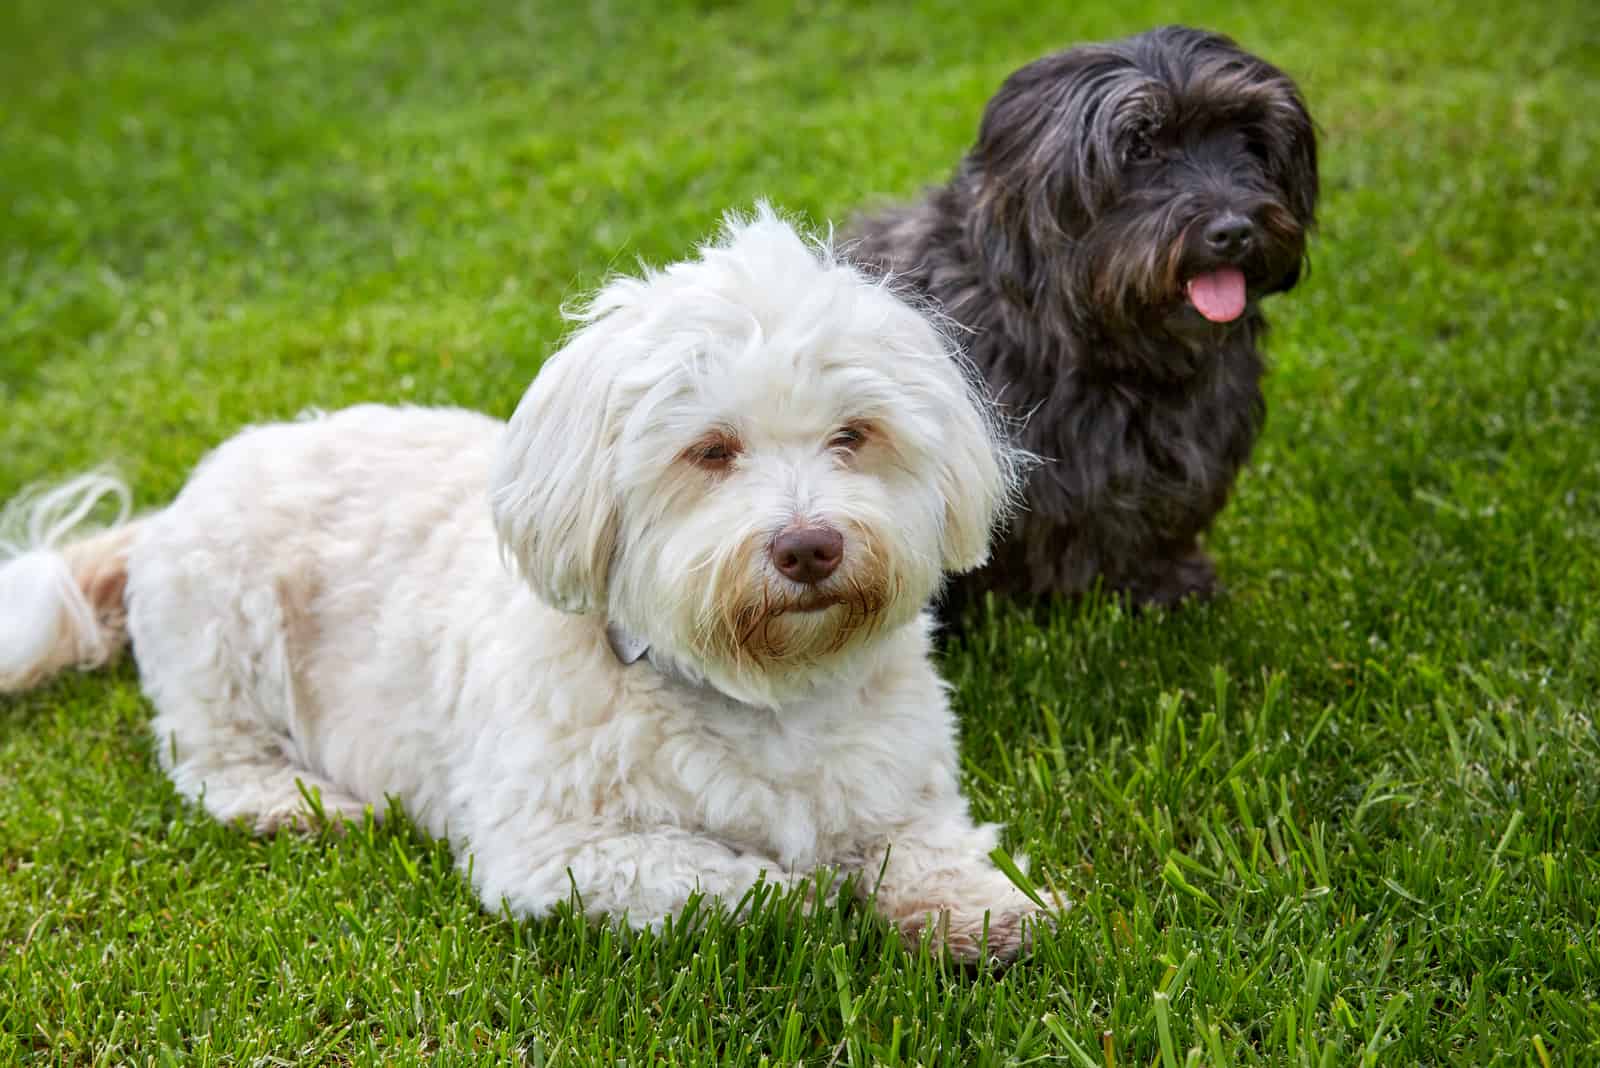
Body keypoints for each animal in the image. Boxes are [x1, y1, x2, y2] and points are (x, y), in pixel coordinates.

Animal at [3, 206, 1049, 959]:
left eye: (853, 436)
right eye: (711, 451)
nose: (809, 548)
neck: (761, 691)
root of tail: (172, 509)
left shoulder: (909, 791)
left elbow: (929, 845)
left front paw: (981, 909)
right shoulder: (558, 854)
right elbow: (731, 880)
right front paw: (814, 895)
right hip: (227, 635)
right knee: (208, 756)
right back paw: (293, 803)